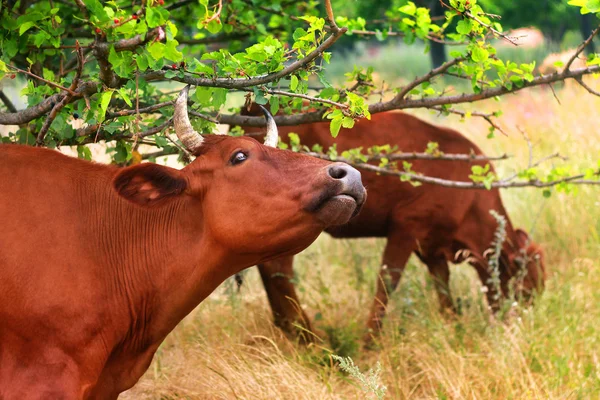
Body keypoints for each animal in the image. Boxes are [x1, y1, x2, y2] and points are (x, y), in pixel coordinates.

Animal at [241, 108, 548, 344]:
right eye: (528, 287)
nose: (520, 327)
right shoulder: (406, 228)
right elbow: (387, 282)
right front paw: (369, 343)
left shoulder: (433, 246)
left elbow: (442, 285)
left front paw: (454, 326)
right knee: (278, 268)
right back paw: (310, 337)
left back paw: (289, 327)